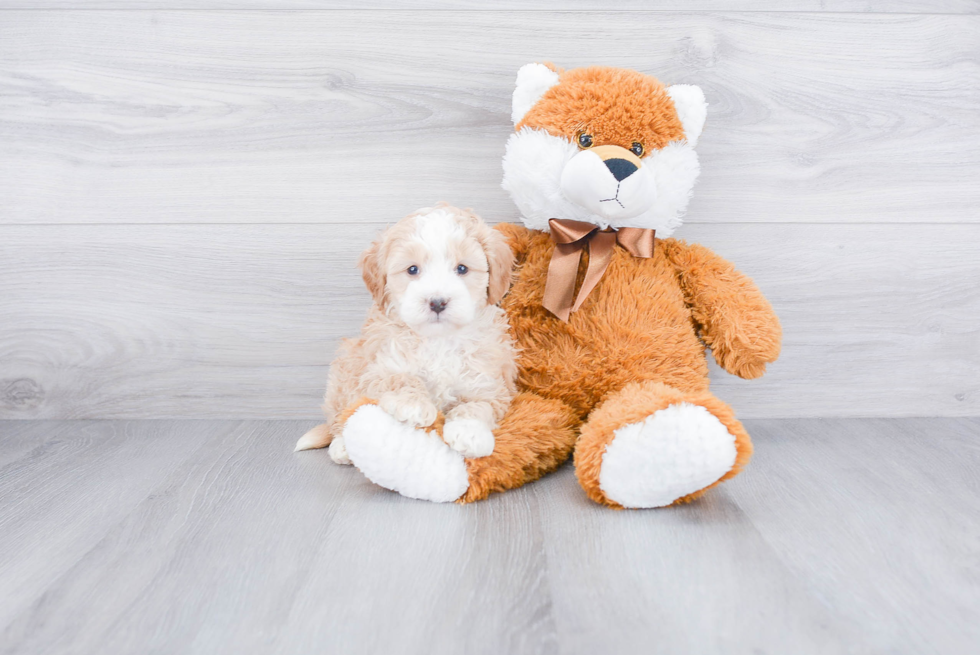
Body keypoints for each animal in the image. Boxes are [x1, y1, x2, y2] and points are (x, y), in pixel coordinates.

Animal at [294, 202, 516, 464]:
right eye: (412, 269)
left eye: (462, 268)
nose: (437, 302)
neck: (439, 341)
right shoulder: (376, 369)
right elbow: (400, 378)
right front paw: (413, 405)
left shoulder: (490, 381)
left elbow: (481, 404)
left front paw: (469, 432)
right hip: (344, 369)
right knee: (341, 415)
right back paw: (342, 446)